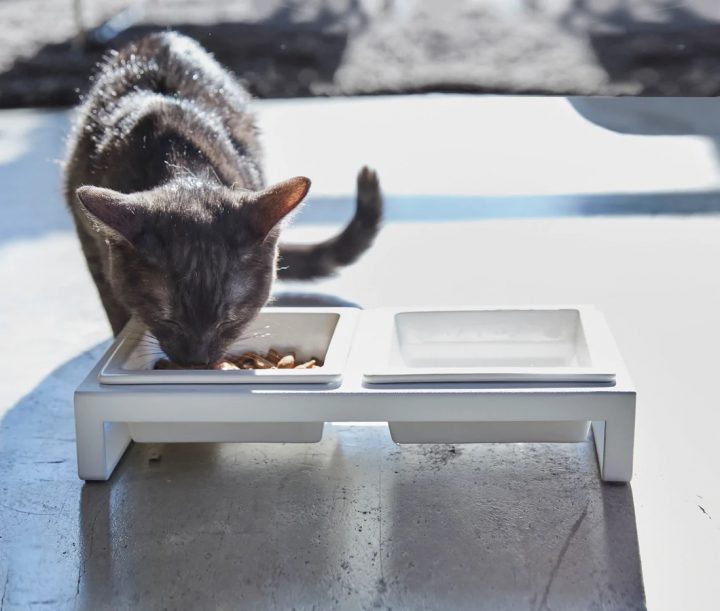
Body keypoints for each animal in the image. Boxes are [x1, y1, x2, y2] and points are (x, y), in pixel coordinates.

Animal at [63, 32, 382, 368]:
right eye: (167, 319)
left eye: (229, 321)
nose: (198, 361)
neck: (179, 162)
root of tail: (161, 35)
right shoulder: (94, 245)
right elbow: (116, 306)